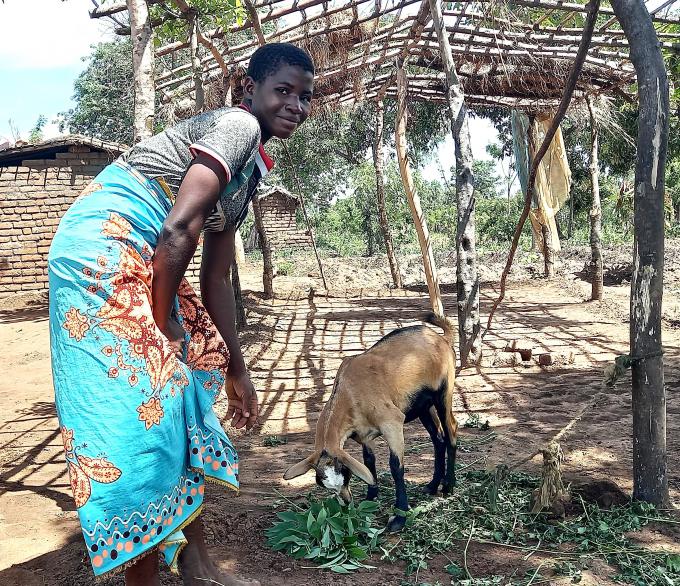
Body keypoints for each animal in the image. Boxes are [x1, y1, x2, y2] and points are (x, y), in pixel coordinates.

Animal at [282, 312, 456, 532]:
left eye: (346, 473)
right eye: (323, 484)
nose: (346, 502)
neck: (350, 391)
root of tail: (441, 338)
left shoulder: (392, 423)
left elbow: (396, 467)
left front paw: (399, 517)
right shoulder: (364, 434)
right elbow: (368, 461)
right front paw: (371, 498)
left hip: (443, 394)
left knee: (451, 432)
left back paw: (449, 486)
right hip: (423, 406)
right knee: (438, 439)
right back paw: (433, 485)